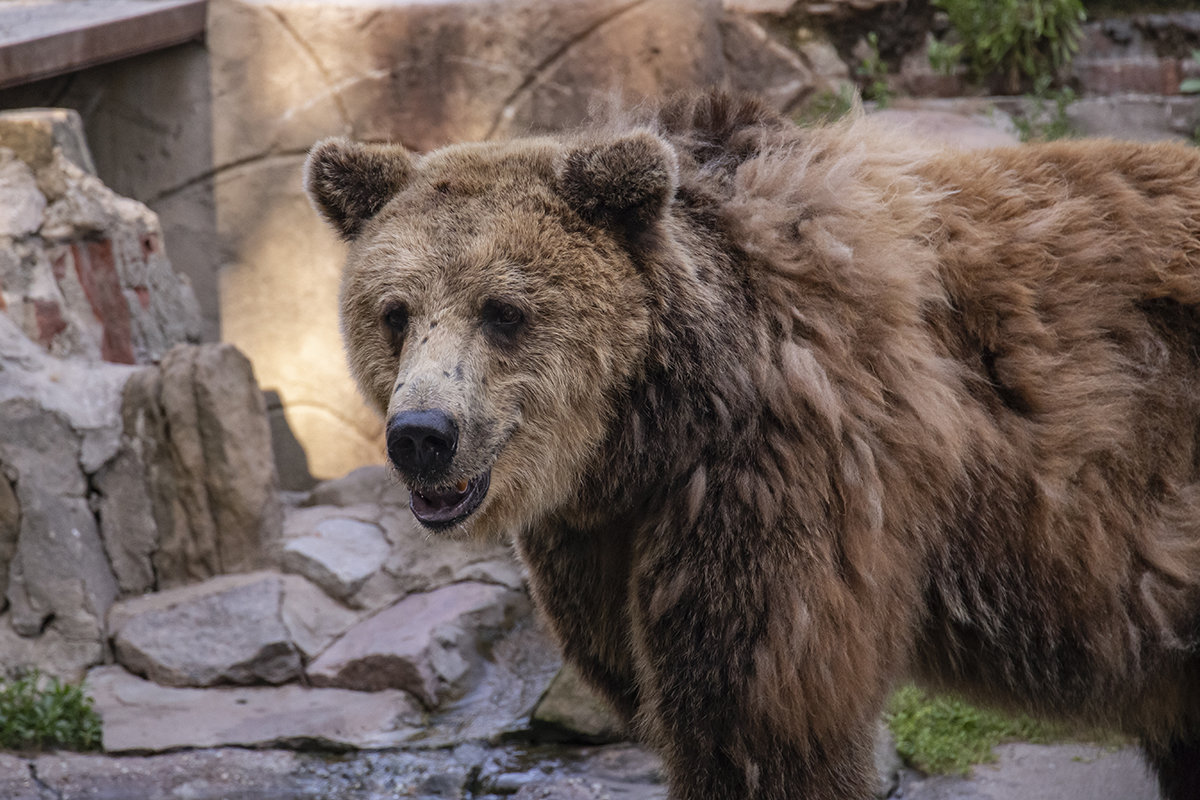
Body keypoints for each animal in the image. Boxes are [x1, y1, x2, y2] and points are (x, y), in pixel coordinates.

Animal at [304, 90, 1200, 796]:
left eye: (504, 310)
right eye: (395, 312)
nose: (422, 436)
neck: (654, 431)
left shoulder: (778, 484)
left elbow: (756, 719)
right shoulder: (604, 542)